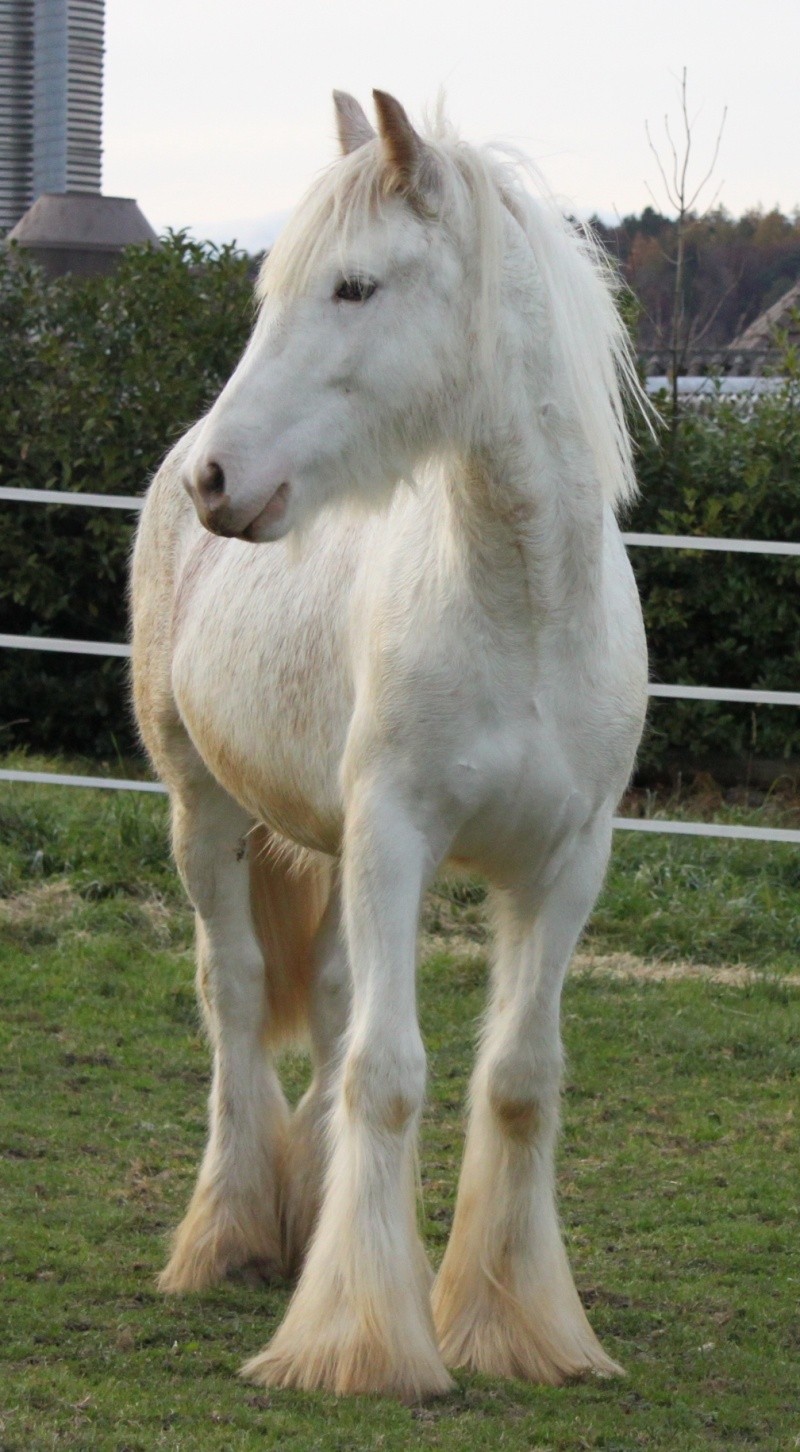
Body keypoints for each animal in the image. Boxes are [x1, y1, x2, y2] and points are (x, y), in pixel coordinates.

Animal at [129, 84, 650, 1399]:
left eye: (355, 287)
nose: (220, 478)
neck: (521, 607)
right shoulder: (395, 838)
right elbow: (388, 1072)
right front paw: (363, 1343)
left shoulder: (564, 864)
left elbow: (515, 1081)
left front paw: (515, 1326)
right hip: (205, 813)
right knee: (235, 993)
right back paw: (229, 1234)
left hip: (324, 838)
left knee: (320, 997)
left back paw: (310, 1222)